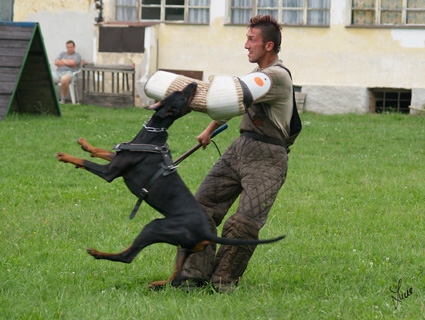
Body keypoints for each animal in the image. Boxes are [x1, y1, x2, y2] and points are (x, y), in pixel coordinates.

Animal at [54, 82, 284, 288]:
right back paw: (157, 284)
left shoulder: (109, 172)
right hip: (184, 248)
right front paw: (85, 144)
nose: (193, 84)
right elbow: (101, 151)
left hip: (156, 227)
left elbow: (86, 162)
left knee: (128, 256)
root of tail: (207, 233)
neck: (153, 134)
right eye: (181, 93)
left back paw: (98, 253)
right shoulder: (117, 160)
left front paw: (65, 156)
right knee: (175, 279)